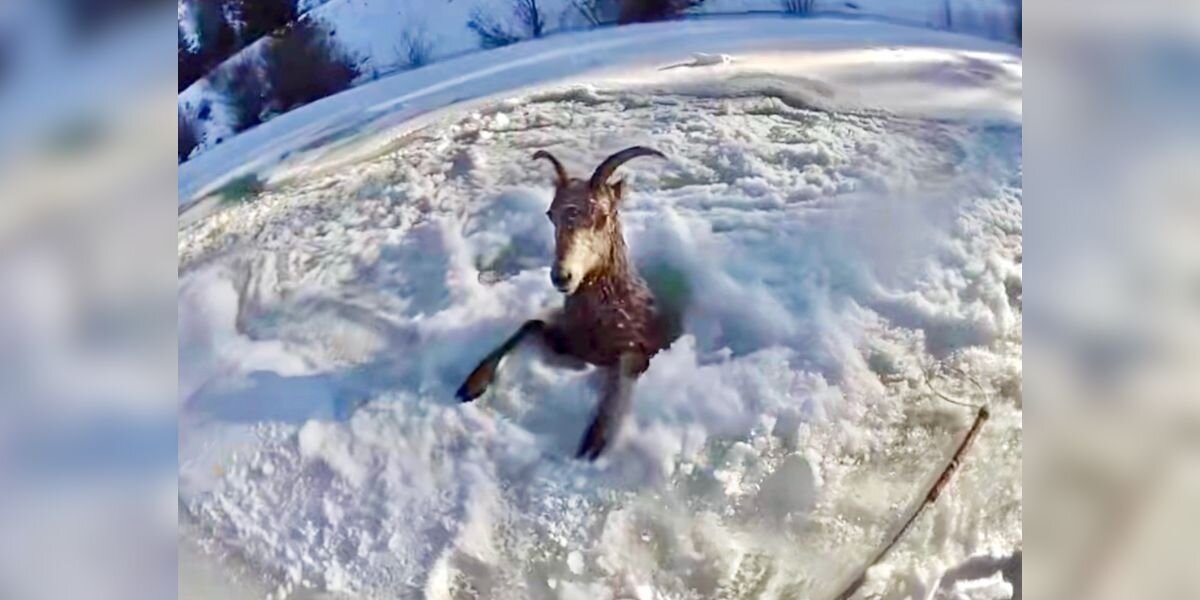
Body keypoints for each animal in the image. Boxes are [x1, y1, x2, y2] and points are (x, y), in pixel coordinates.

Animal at [456, 146, 673, 460]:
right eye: (551, 214)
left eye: (603, 215)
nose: (562, 276)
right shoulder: (567, 341)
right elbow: (530, 324)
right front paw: (472, 385)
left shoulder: (637, 347)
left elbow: (625, 368)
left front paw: (594, 440)